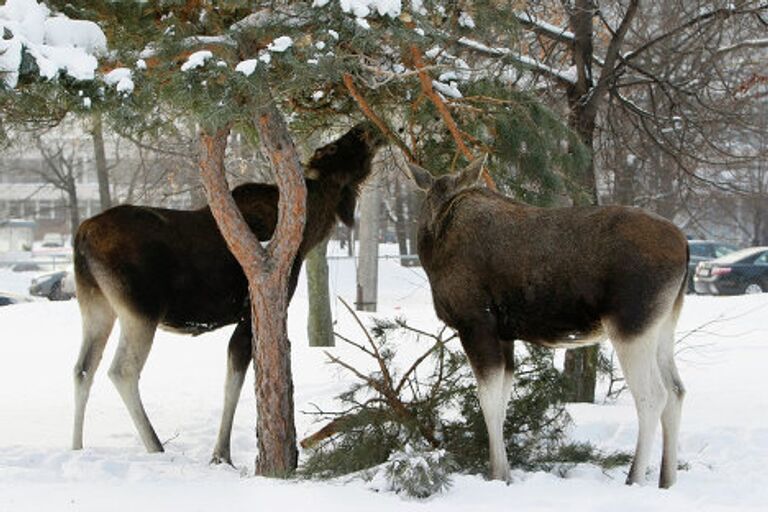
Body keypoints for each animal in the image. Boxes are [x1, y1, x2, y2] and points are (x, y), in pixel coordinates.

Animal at [71, 121, 384, 464]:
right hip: (141, 310)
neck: (309, 231)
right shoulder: (251, 313)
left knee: (83, 368)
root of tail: (81, 236)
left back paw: (76, 446)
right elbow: (234, 383)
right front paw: (222, 454)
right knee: (122, 370)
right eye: (333, 148)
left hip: (96, 305)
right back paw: (155, 446)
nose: (366, 126)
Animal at [408, 157, 688, 488]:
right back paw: (667, 480)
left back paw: (634, 479)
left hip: (631, 325)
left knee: (652, 396)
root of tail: (685, 247)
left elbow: (487, 401)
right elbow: (502, 402)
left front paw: (497, 474)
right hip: (664, 323)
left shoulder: (476, 323)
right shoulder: (504, 334)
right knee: (676, 391)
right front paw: (505, 474)